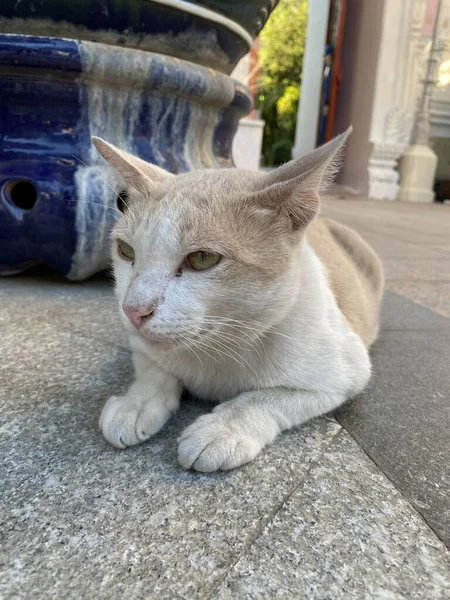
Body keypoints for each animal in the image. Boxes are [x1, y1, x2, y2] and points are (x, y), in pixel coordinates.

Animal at [92, 127, 384, 474]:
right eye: (126, 251)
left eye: (202, 259)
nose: (133, 310)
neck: (218, 347)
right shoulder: (140, 344)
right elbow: (153, 370)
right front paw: (136, 403)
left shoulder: (343, 370)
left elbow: (266, 398)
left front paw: (223, 429)